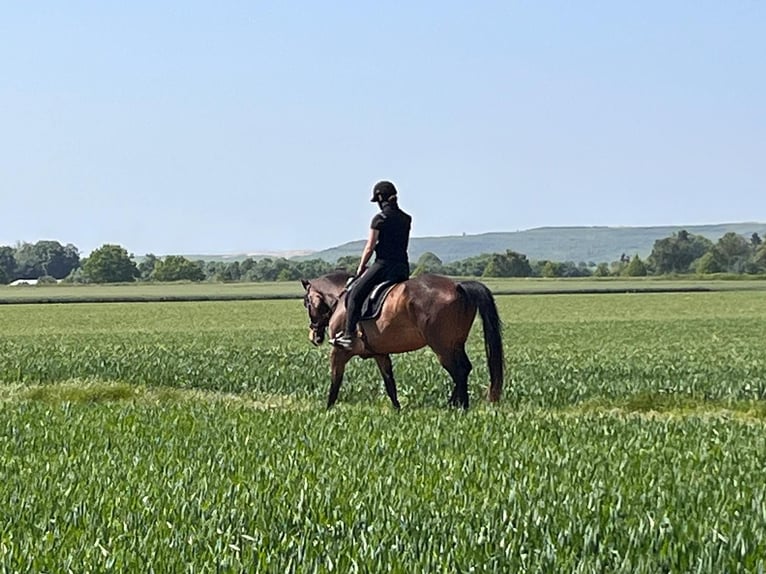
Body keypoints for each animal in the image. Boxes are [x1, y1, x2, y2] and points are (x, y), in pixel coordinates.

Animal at [300, 272, 504, 412]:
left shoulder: (338, 352)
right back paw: (456, 404)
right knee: (465, 369)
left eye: (306, 303)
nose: (314, 336)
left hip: (443, 348)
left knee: (459, 371)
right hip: (456, 345)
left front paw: (327, 410)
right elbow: (390, 383)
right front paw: (397, 410)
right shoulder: (380, 354)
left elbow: (335, 382)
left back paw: (458, 406)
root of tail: (458, 286)